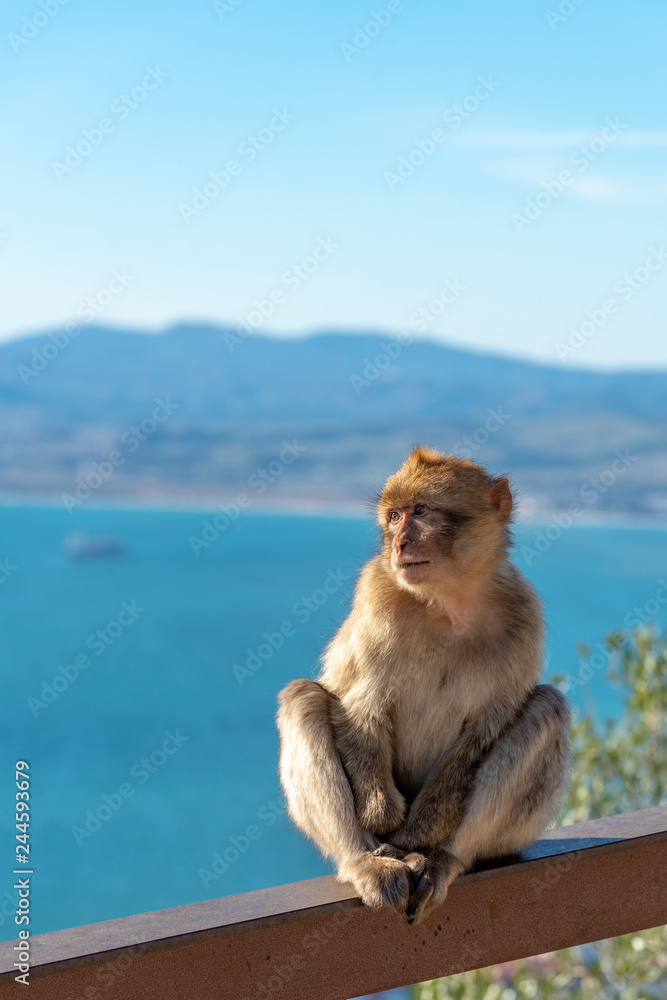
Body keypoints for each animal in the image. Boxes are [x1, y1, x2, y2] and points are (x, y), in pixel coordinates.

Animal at [277, 446, 570, 925]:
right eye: (394, 516)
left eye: (420, 511)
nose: (399, 543)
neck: (448, 603)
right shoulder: (376, 597)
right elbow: (361, 706)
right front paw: (382, 813)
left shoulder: (525, 614)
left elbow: (485, 729)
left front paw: (421, 829)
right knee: (302, 698)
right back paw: (366, 860)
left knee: (547, 707)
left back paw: (440, 857)